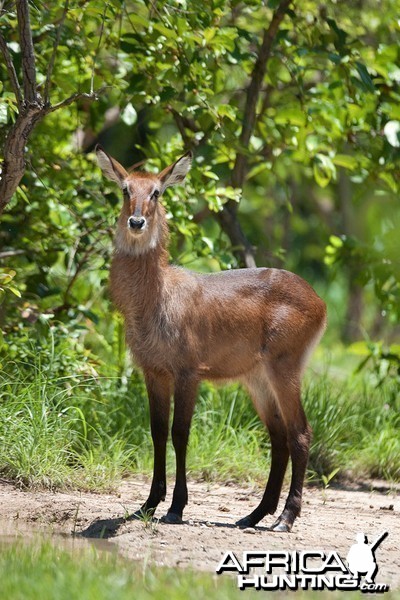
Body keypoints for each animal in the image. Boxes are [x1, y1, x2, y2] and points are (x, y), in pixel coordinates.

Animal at [97, 145, 328, 528]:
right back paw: (253, 516)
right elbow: (157, 431)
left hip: (285, 368)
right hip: (257, 378)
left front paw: (176, 507)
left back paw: (285, 517)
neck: (156, 297)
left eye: (156, 192)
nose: (136, 222)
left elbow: (180, 433)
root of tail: (319, 301)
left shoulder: (188, 372)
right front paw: (147, 505)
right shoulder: (153, 371)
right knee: (279, 437)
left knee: (300, 433)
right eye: (125, 189)